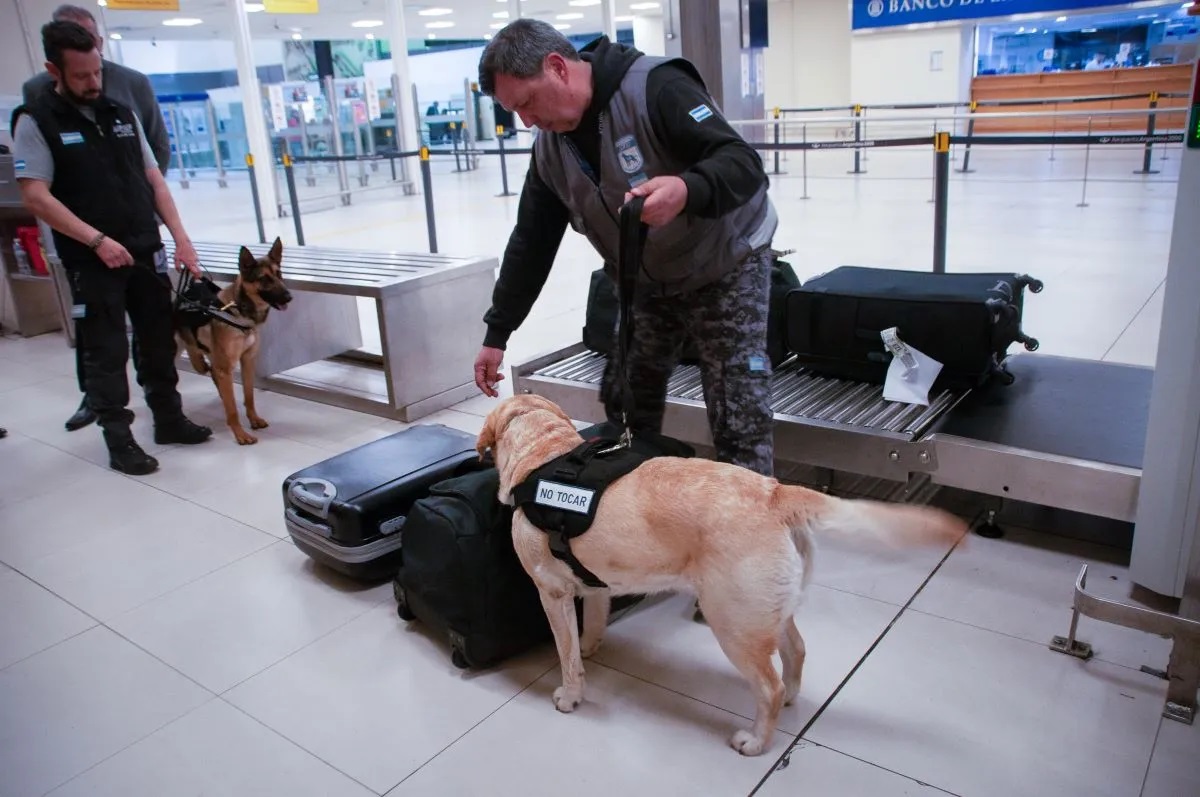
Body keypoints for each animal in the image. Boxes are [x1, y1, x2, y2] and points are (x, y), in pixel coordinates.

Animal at [175, 240, 294, 444]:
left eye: (279, 274)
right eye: (264, 278)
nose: (289, 297)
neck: (238, 312)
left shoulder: (247, 361)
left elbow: (249, 395)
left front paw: (253, 420)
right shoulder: (225, 368)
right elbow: (232, 410)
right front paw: (240, 435)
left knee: (208, 369)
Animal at [475, 396, 964, 758]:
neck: (546, 452)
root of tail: (775, 492)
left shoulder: (551, 592)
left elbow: (566, 655)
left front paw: (570, 694)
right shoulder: (596, 587)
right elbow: (589, 627)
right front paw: (592, 647)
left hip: (732, 623)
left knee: (768, 685)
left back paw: (756, 740)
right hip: (764, 613)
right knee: (796, 654)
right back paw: (792, 697)